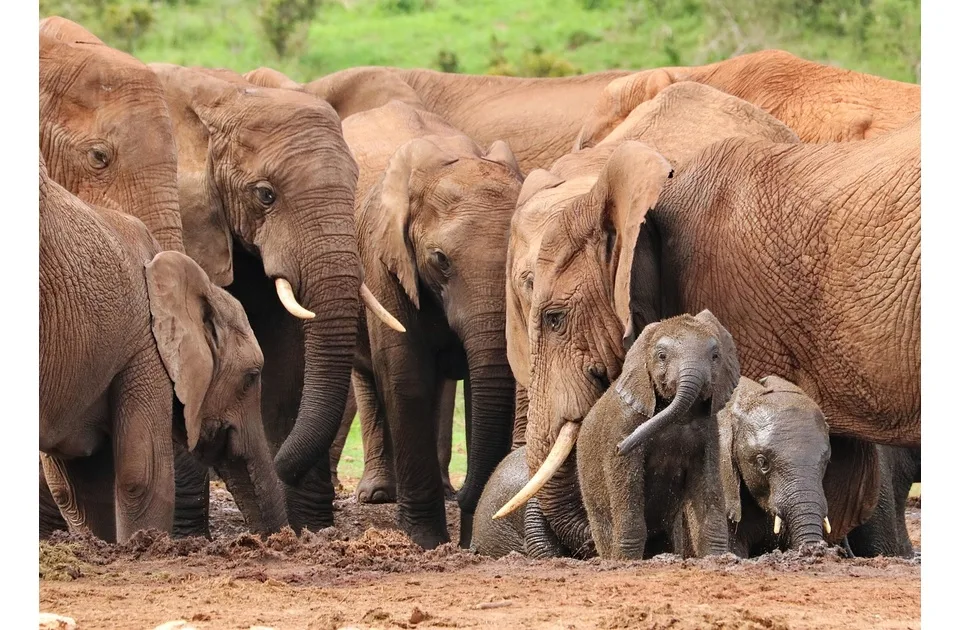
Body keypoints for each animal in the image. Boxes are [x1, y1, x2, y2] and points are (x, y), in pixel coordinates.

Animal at [152, 64, 400, 536]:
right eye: (265, 195)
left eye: (354, 188)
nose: (280, 463)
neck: (224, 97)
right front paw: (187, 538)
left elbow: (287, 360)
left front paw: (309, 531)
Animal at [344, 101, 524, 552]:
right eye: (440, 259)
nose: (465, 494)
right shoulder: (382, 259)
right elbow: (405, 377)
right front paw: (424, 541)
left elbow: (483, 389)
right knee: (368, 376)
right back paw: (378, 494)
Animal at [572, 308, 740, 560]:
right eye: (661, 356)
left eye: (715, 356)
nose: (621, 447)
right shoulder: (623, 424)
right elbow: (628, 489)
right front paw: (626, 561)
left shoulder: (709, 433)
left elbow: (709, 490)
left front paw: (716, 558)